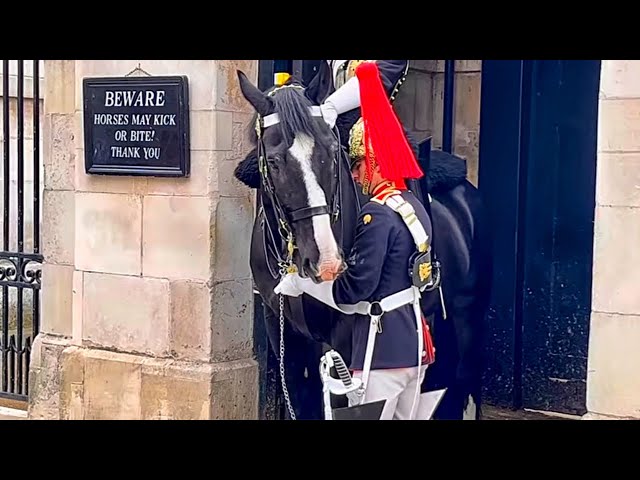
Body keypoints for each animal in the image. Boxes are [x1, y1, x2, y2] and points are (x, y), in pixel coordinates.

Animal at [234, 62, 490, 420]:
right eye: (273, 161)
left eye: (331, 151)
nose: (327, 262)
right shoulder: (284, 331)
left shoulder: (347, 338)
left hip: (467, 319)